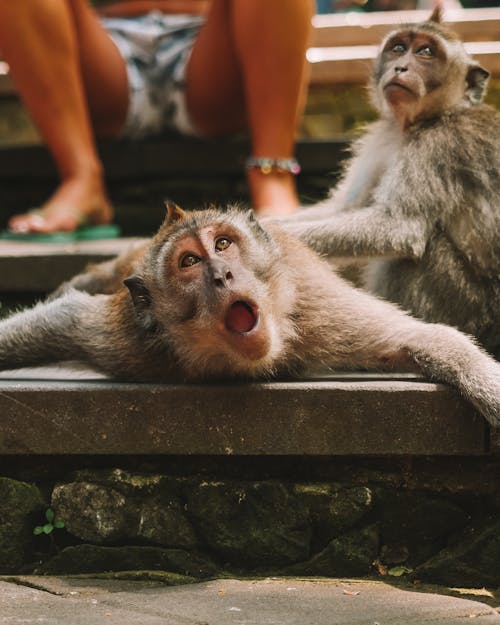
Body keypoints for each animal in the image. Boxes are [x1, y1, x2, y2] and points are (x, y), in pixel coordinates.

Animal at [0, 202, 500, 426]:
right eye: (189, 261)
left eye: (222, 244)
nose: (221, 273)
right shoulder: (133, 343)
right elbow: (62, 319)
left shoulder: (314, 311)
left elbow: (422, 337)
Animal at [280, 9, 498, 358]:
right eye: (398, 48)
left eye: (426, 52)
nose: (401, 67)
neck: (429, 119)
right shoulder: (383, 137)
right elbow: (346, 207)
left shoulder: (436, 148)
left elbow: (399, 227)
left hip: (475, 309)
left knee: (413, 254)